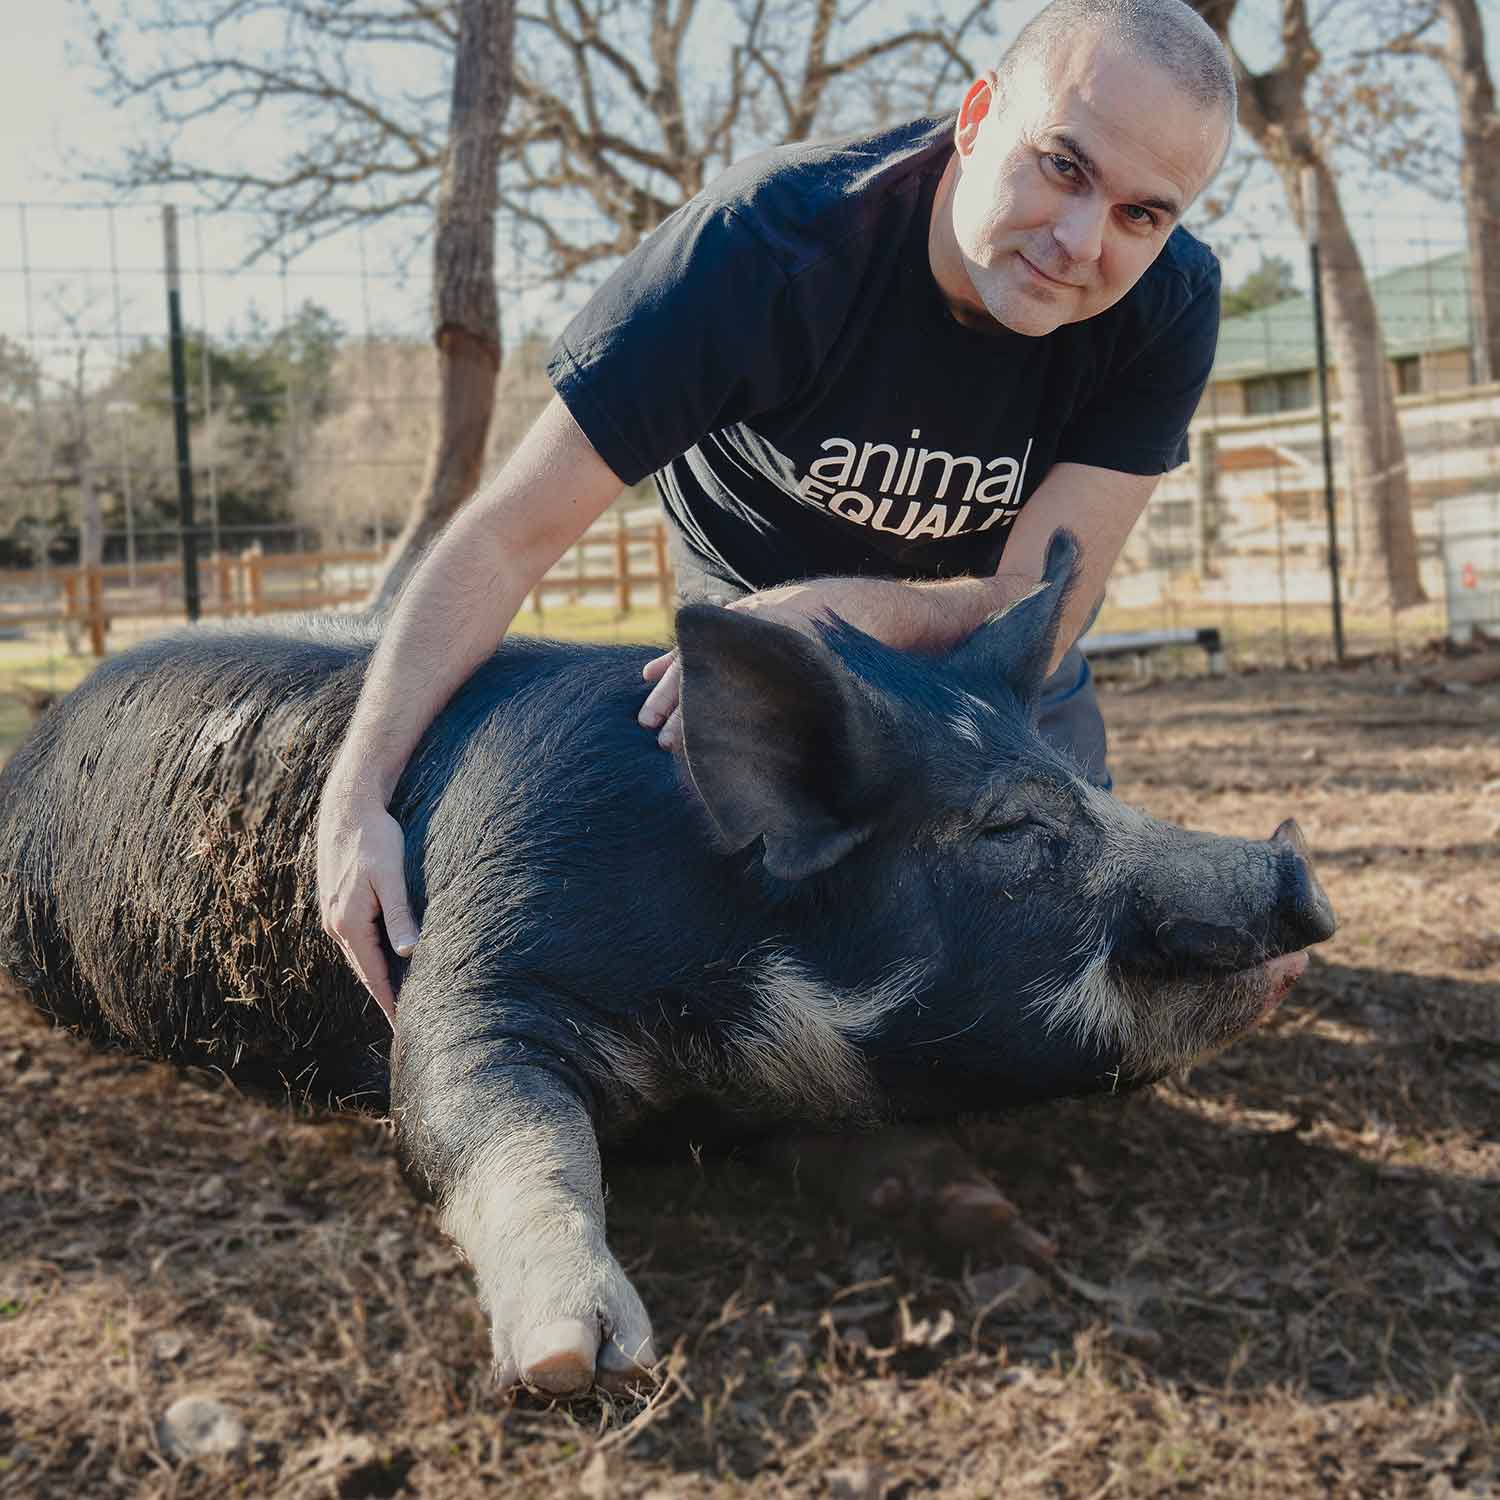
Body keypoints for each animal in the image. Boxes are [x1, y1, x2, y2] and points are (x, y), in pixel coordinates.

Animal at [0, 531, 1338, 1392]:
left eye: (1083, 786)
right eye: (1011, 827)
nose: (1292, 875)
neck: (721, 1014)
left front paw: (995, 1225)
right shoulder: (475, 960)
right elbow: (486, 1119)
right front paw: (576, 1361)